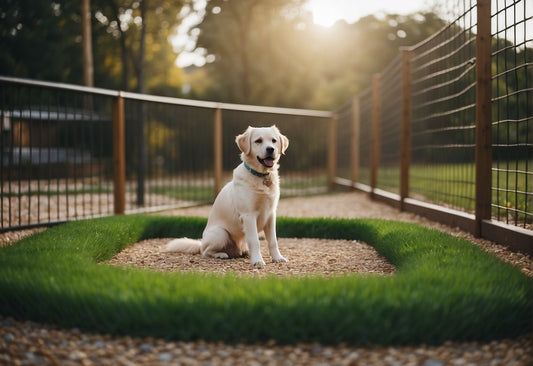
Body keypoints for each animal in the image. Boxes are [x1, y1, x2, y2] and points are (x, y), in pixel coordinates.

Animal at [166, 126, 290, 266]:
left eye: (274, 141)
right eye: (258, 141)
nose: (270, 149)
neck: (261, 176)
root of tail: (201, 243)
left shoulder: (270, 214)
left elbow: (273, 241)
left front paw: (277, 258)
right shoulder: (248, 215)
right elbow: (255, 241)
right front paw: (257, 261)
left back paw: (245, 253)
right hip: (220, 233)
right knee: (205, 252)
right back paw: (221, 255)